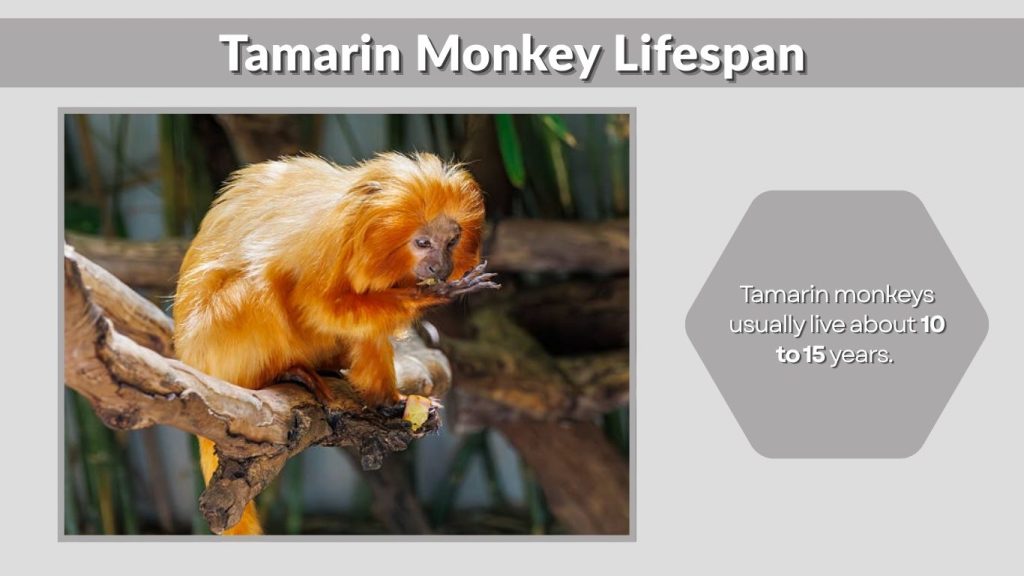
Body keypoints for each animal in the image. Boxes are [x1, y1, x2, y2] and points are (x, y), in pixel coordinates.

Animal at [172, 152, 499, 535]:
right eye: (423, 244)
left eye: (451, 241)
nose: (440, 266)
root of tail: (195, 363)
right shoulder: (329, 244)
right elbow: (318, 305)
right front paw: (428, 295)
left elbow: (365, 328)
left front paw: (389, 403)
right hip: (219, 347)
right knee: (256, 286)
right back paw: (283, 374)